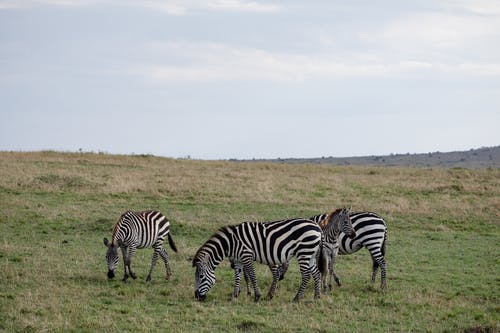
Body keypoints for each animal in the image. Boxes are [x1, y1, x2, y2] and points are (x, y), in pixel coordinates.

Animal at [193, 217, 322, 302]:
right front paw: (234, 296)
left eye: (201, 277)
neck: (231, 243)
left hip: (304, 252)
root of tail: (318, 227)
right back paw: (317, 296)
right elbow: (237, 277)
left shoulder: (246, 256)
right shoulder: (238, 260)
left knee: (306, 275)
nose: (197, 297)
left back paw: (297, 298)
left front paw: (257, 296)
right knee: (316, 273)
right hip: (310, 254)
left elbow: (252, 276)